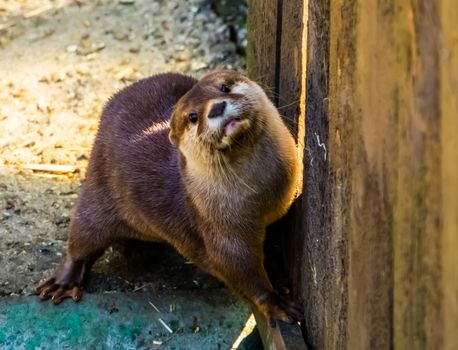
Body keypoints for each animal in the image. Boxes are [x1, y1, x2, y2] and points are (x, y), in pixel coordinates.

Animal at [37, 69, 304, 326]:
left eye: (225, 87)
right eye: (193, 117)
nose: (217, 107)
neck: (260, 191)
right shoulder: (222, 230)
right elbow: (240, 270)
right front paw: (276, 304)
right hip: (97, 192)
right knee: (82, 238)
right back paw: (64, 281)